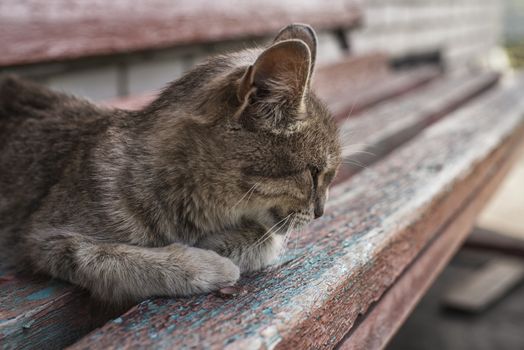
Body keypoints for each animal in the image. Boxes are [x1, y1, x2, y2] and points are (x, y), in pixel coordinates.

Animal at [0, 23, 342, 304]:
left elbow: (266, 237)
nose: (321, 213)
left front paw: (217, 244)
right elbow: (108, 256)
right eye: (313, 174)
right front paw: (204, 263)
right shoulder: (43, 237)